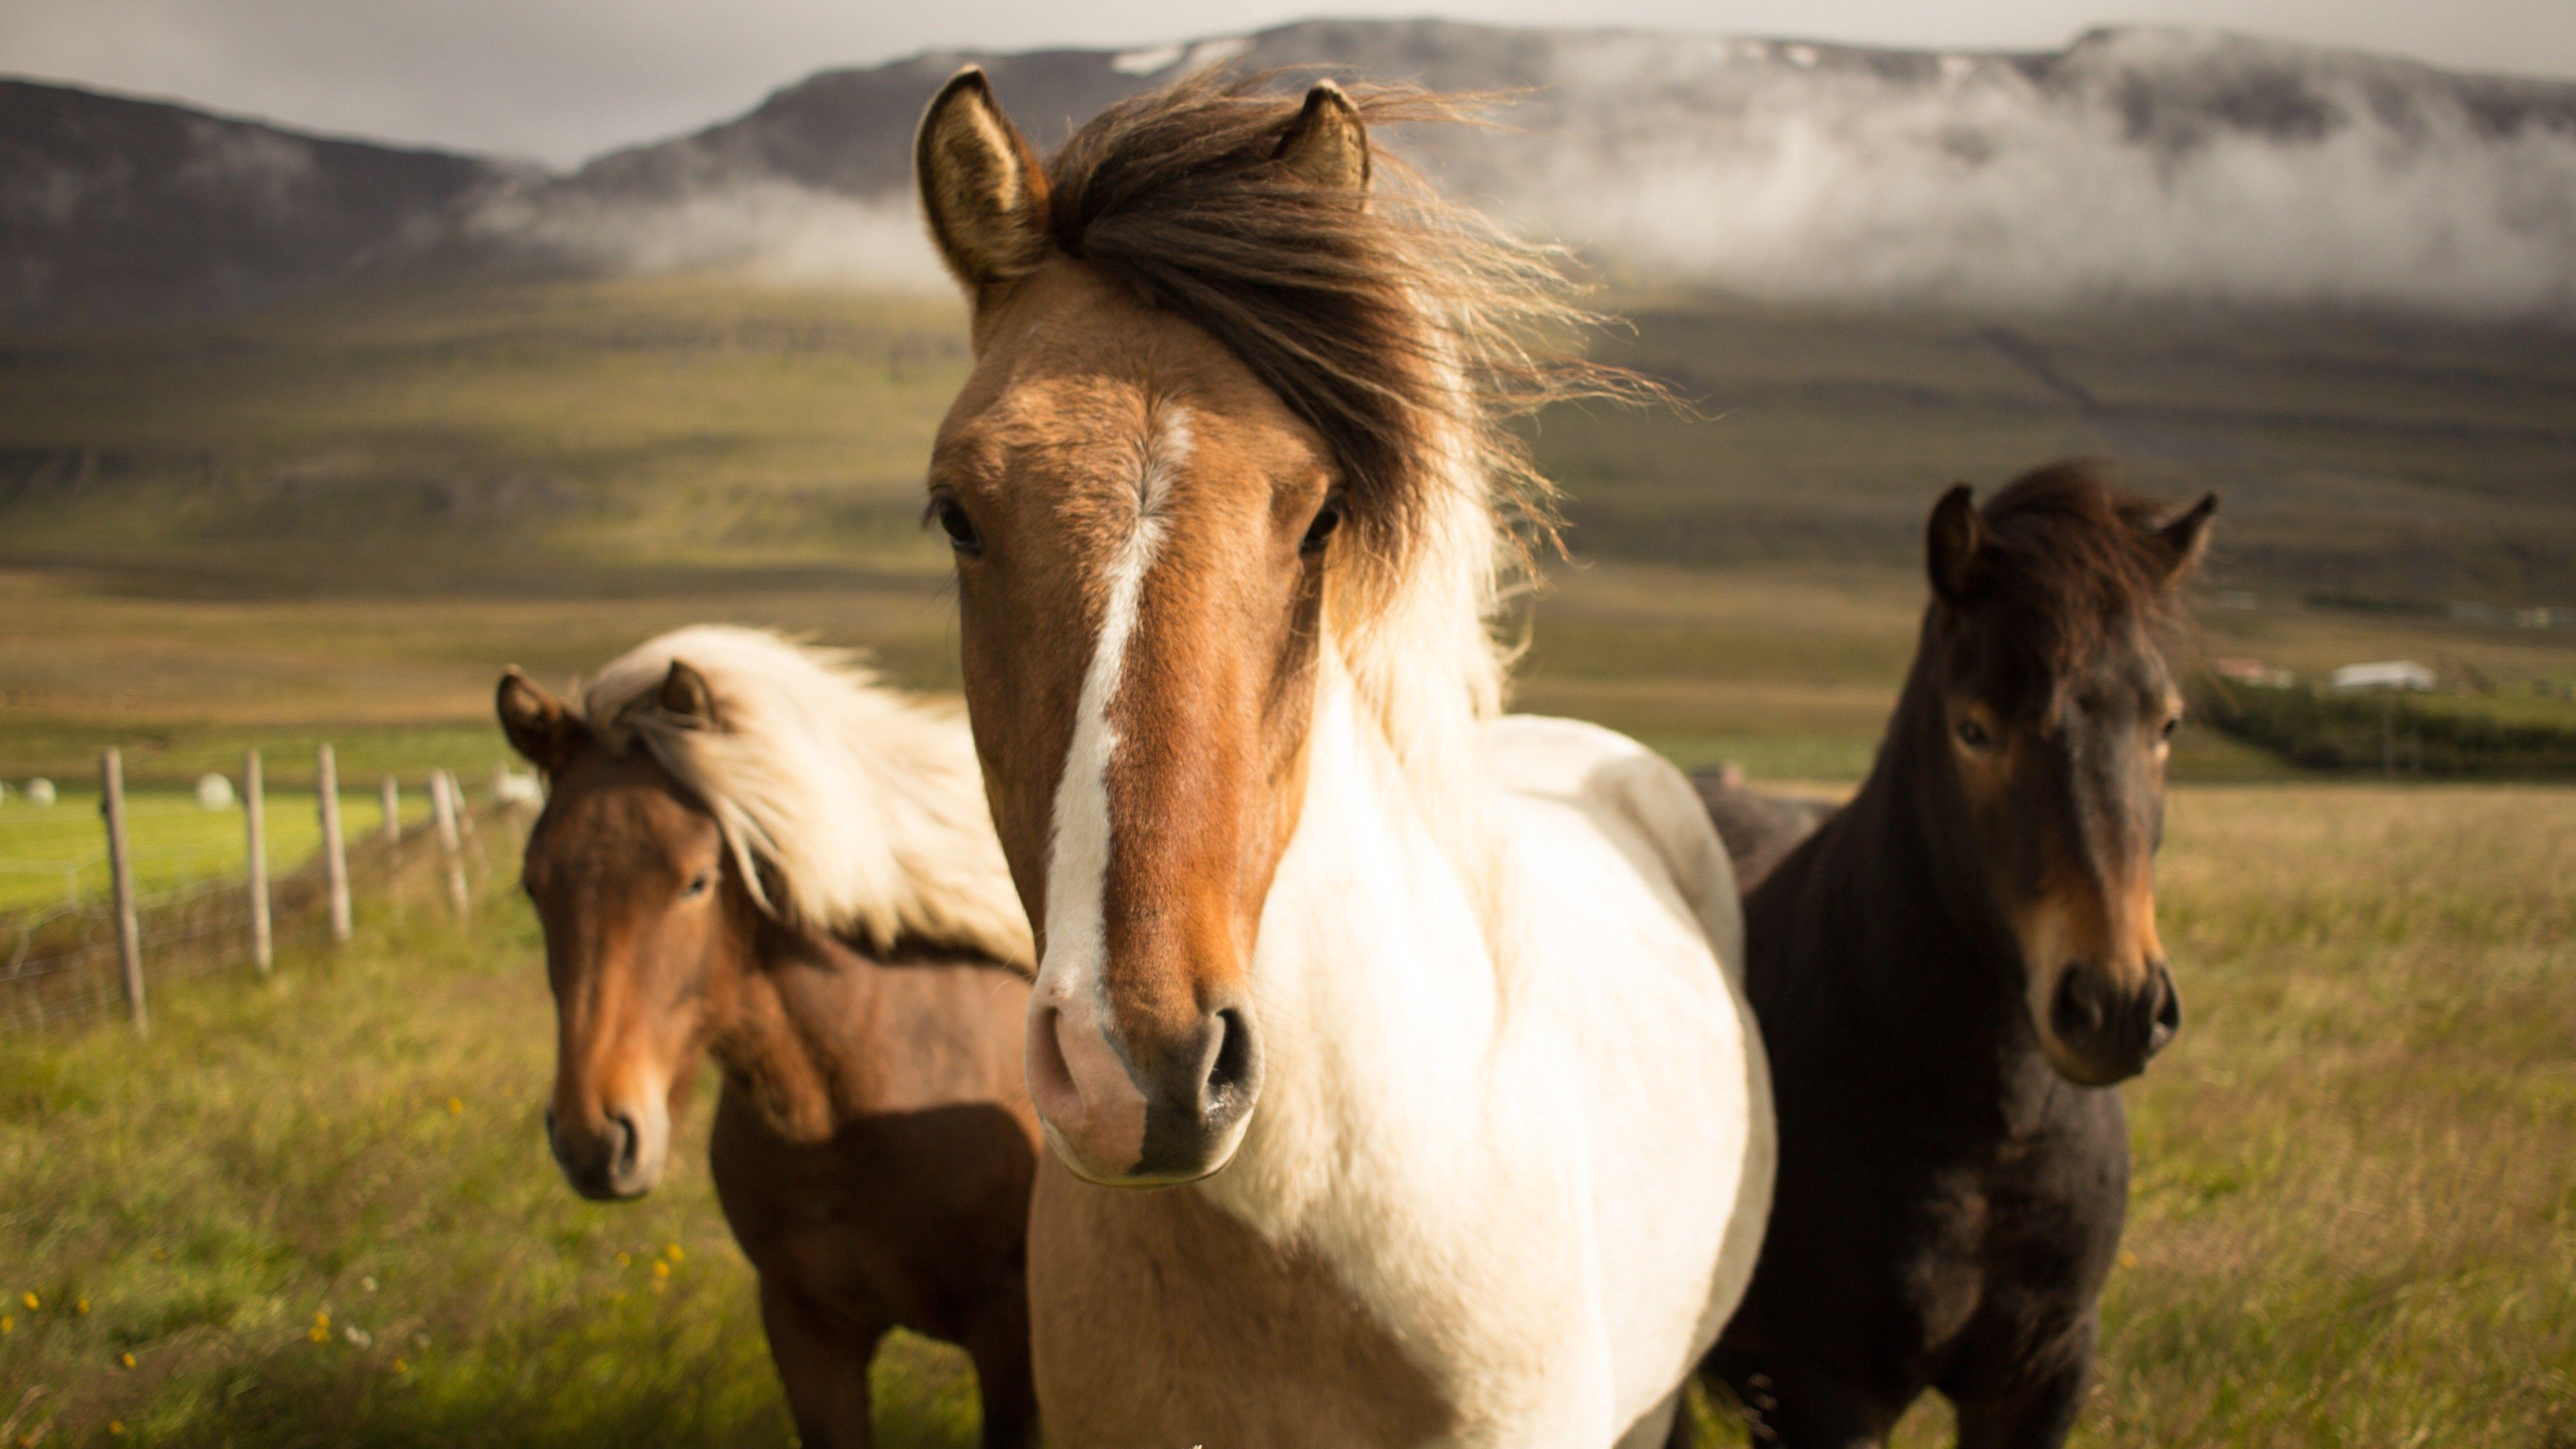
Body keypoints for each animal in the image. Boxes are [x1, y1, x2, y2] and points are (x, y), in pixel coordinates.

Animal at [1706, 464, 2215, 1449]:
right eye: (1974, 730)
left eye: (2166, 724)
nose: (2116, 1006)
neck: (1990, 1135)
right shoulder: (1824, 1392)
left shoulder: (2042, 1376)